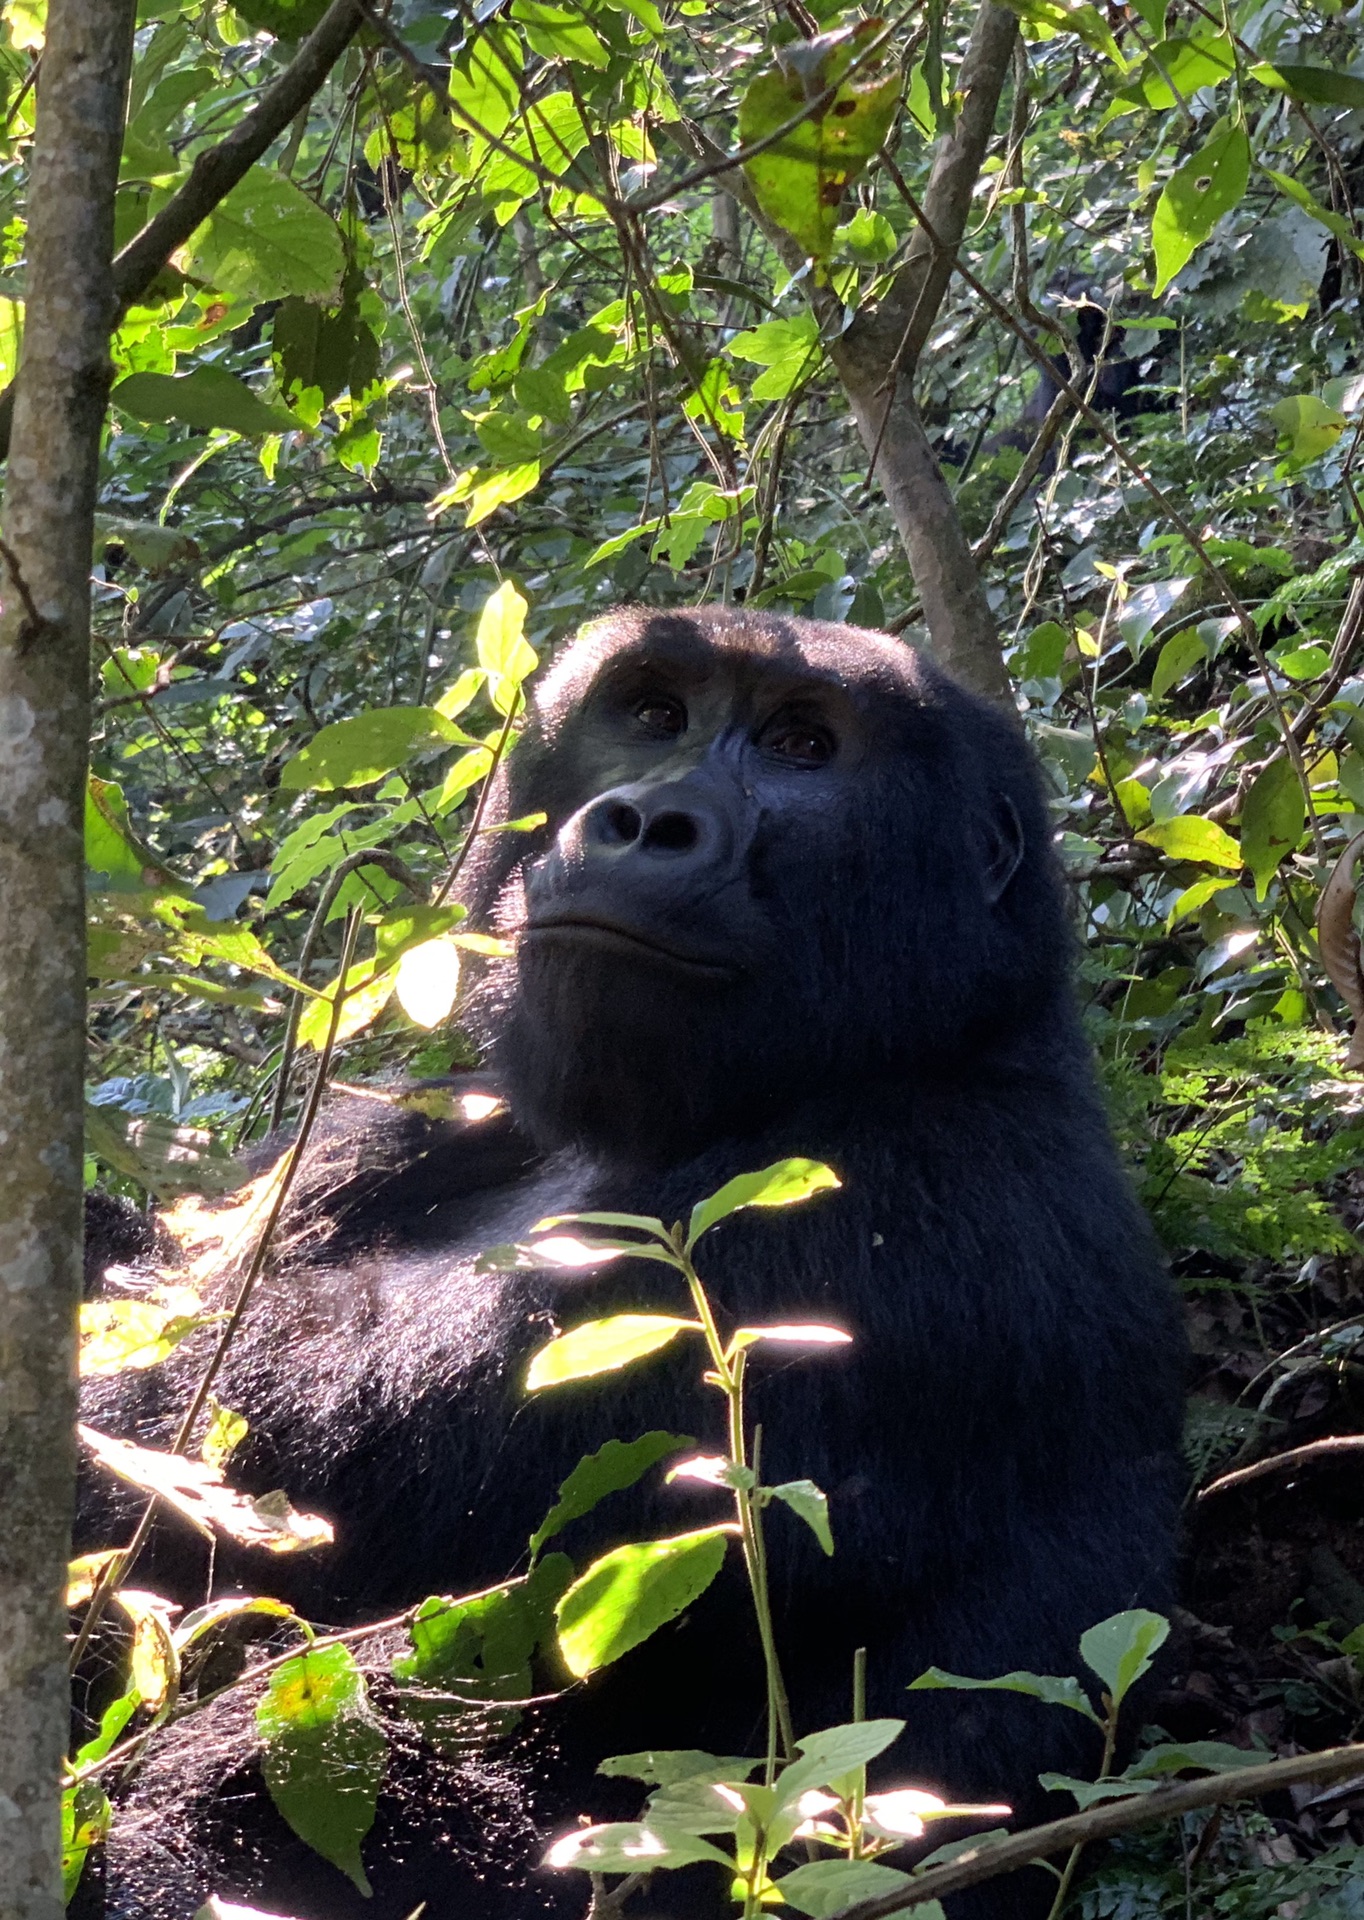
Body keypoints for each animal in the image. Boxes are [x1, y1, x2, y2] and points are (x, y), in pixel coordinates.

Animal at [80, 606, 1183, 1920]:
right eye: (653, 715)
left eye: (803, 745)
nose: (646, 820)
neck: (939, 1036)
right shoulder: (414, 1120)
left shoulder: (891, 1217)